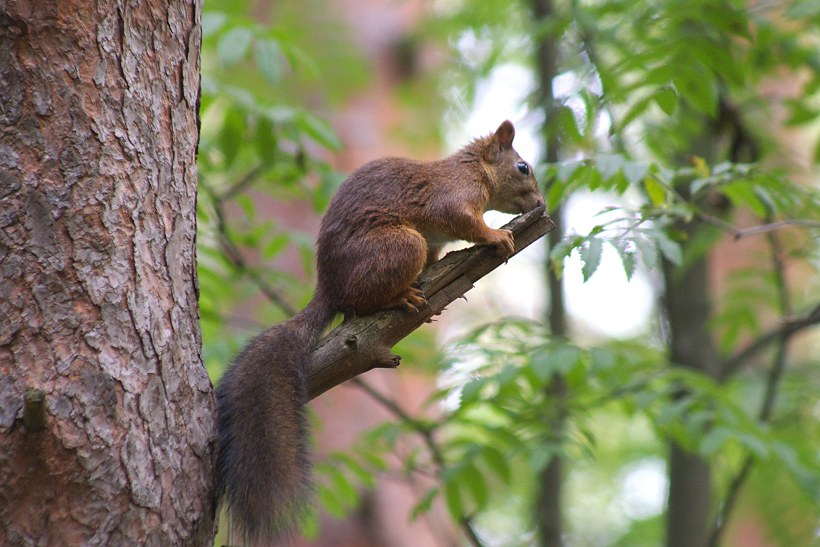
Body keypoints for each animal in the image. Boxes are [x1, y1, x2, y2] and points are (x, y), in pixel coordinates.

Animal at [215, 120, 544, 545]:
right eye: (522, 168)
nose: (540, 203)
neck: (475, 170)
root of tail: (329, 288)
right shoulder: (453, 195)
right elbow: (464, 221)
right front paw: (496, 236)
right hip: (403, 244)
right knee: (364, 300)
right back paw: (401, 297)